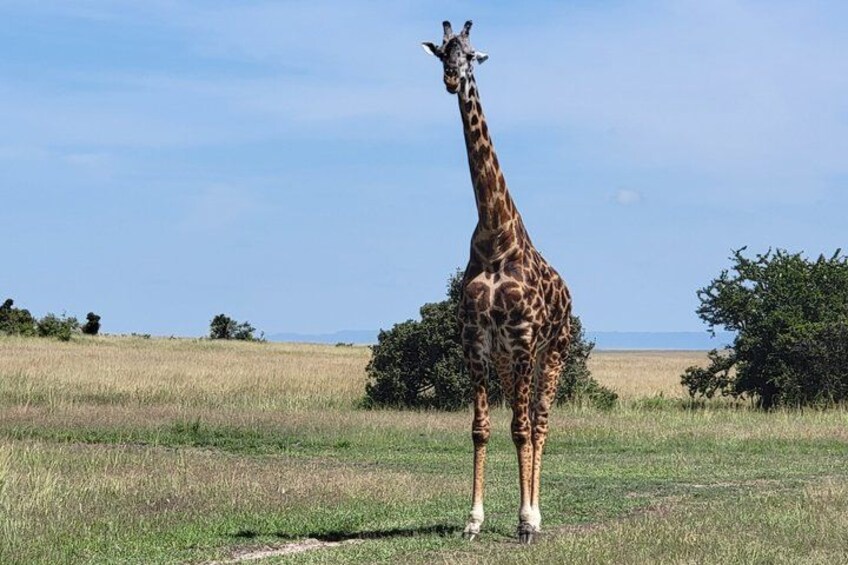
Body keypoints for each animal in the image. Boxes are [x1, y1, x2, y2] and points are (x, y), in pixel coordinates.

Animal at [422, 20, 573, 544]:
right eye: (442, 53)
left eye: (471, 55)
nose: (451, 79)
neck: (494, 234)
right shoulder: (475, 339)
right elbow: (482, 428)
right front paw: (474, 520)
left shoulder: (525, 338)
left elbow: (523, 429)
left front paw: (526, 521)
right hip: (509, 362)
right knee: (519, 421)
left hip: (553, 351)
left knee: (540, 423)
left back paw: (538, 515)